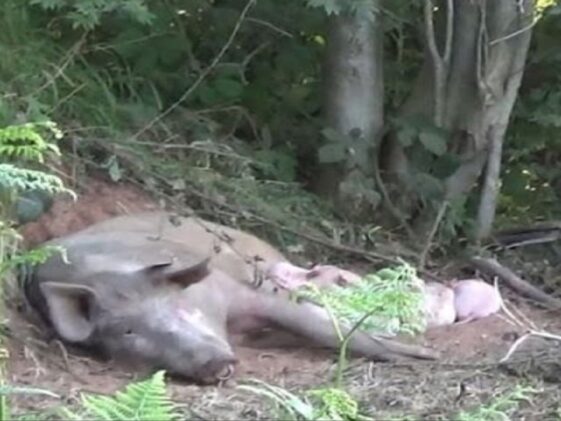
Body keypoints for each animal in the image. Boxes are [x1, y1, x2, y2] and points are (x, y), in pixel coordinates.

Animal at [24, 213, 438, 384]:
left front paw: (423, 357)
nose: (212, 360)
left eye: (178, 304)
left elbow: (316, 325)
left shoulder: (236, 291)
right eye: (128, 331)